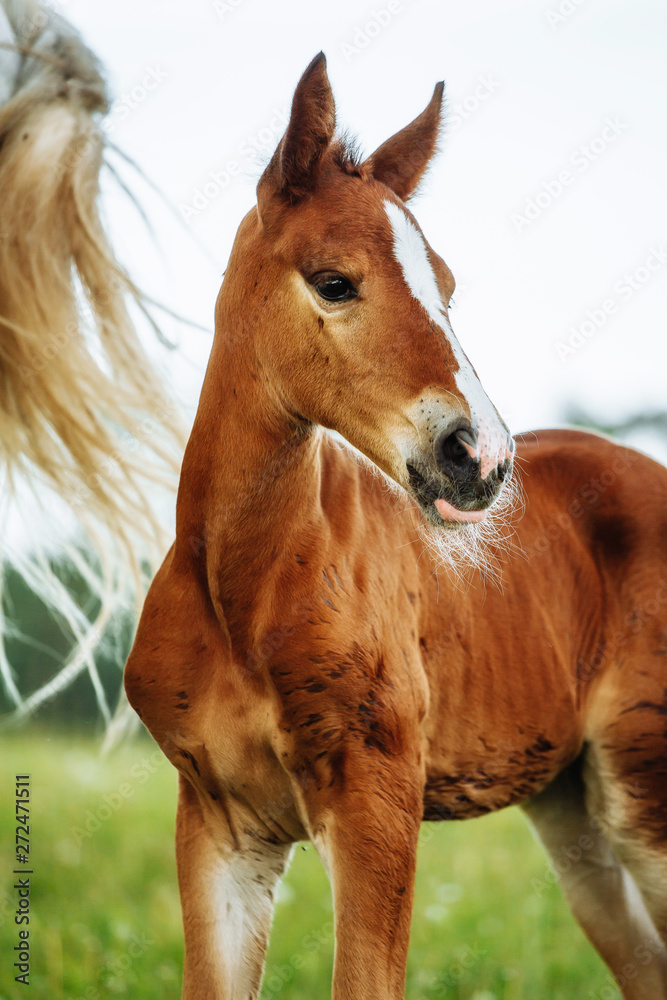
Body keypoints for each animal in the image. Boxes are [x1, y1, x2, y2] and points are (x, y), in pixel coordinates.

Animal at [125, 53, 667, 999]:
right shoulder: (219, 824)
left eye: (444, 286)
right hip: (574, 810)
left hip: (646, 785)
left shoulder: (376, 804)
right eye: (333, 281)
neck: (244, 591)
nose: (479, 457)